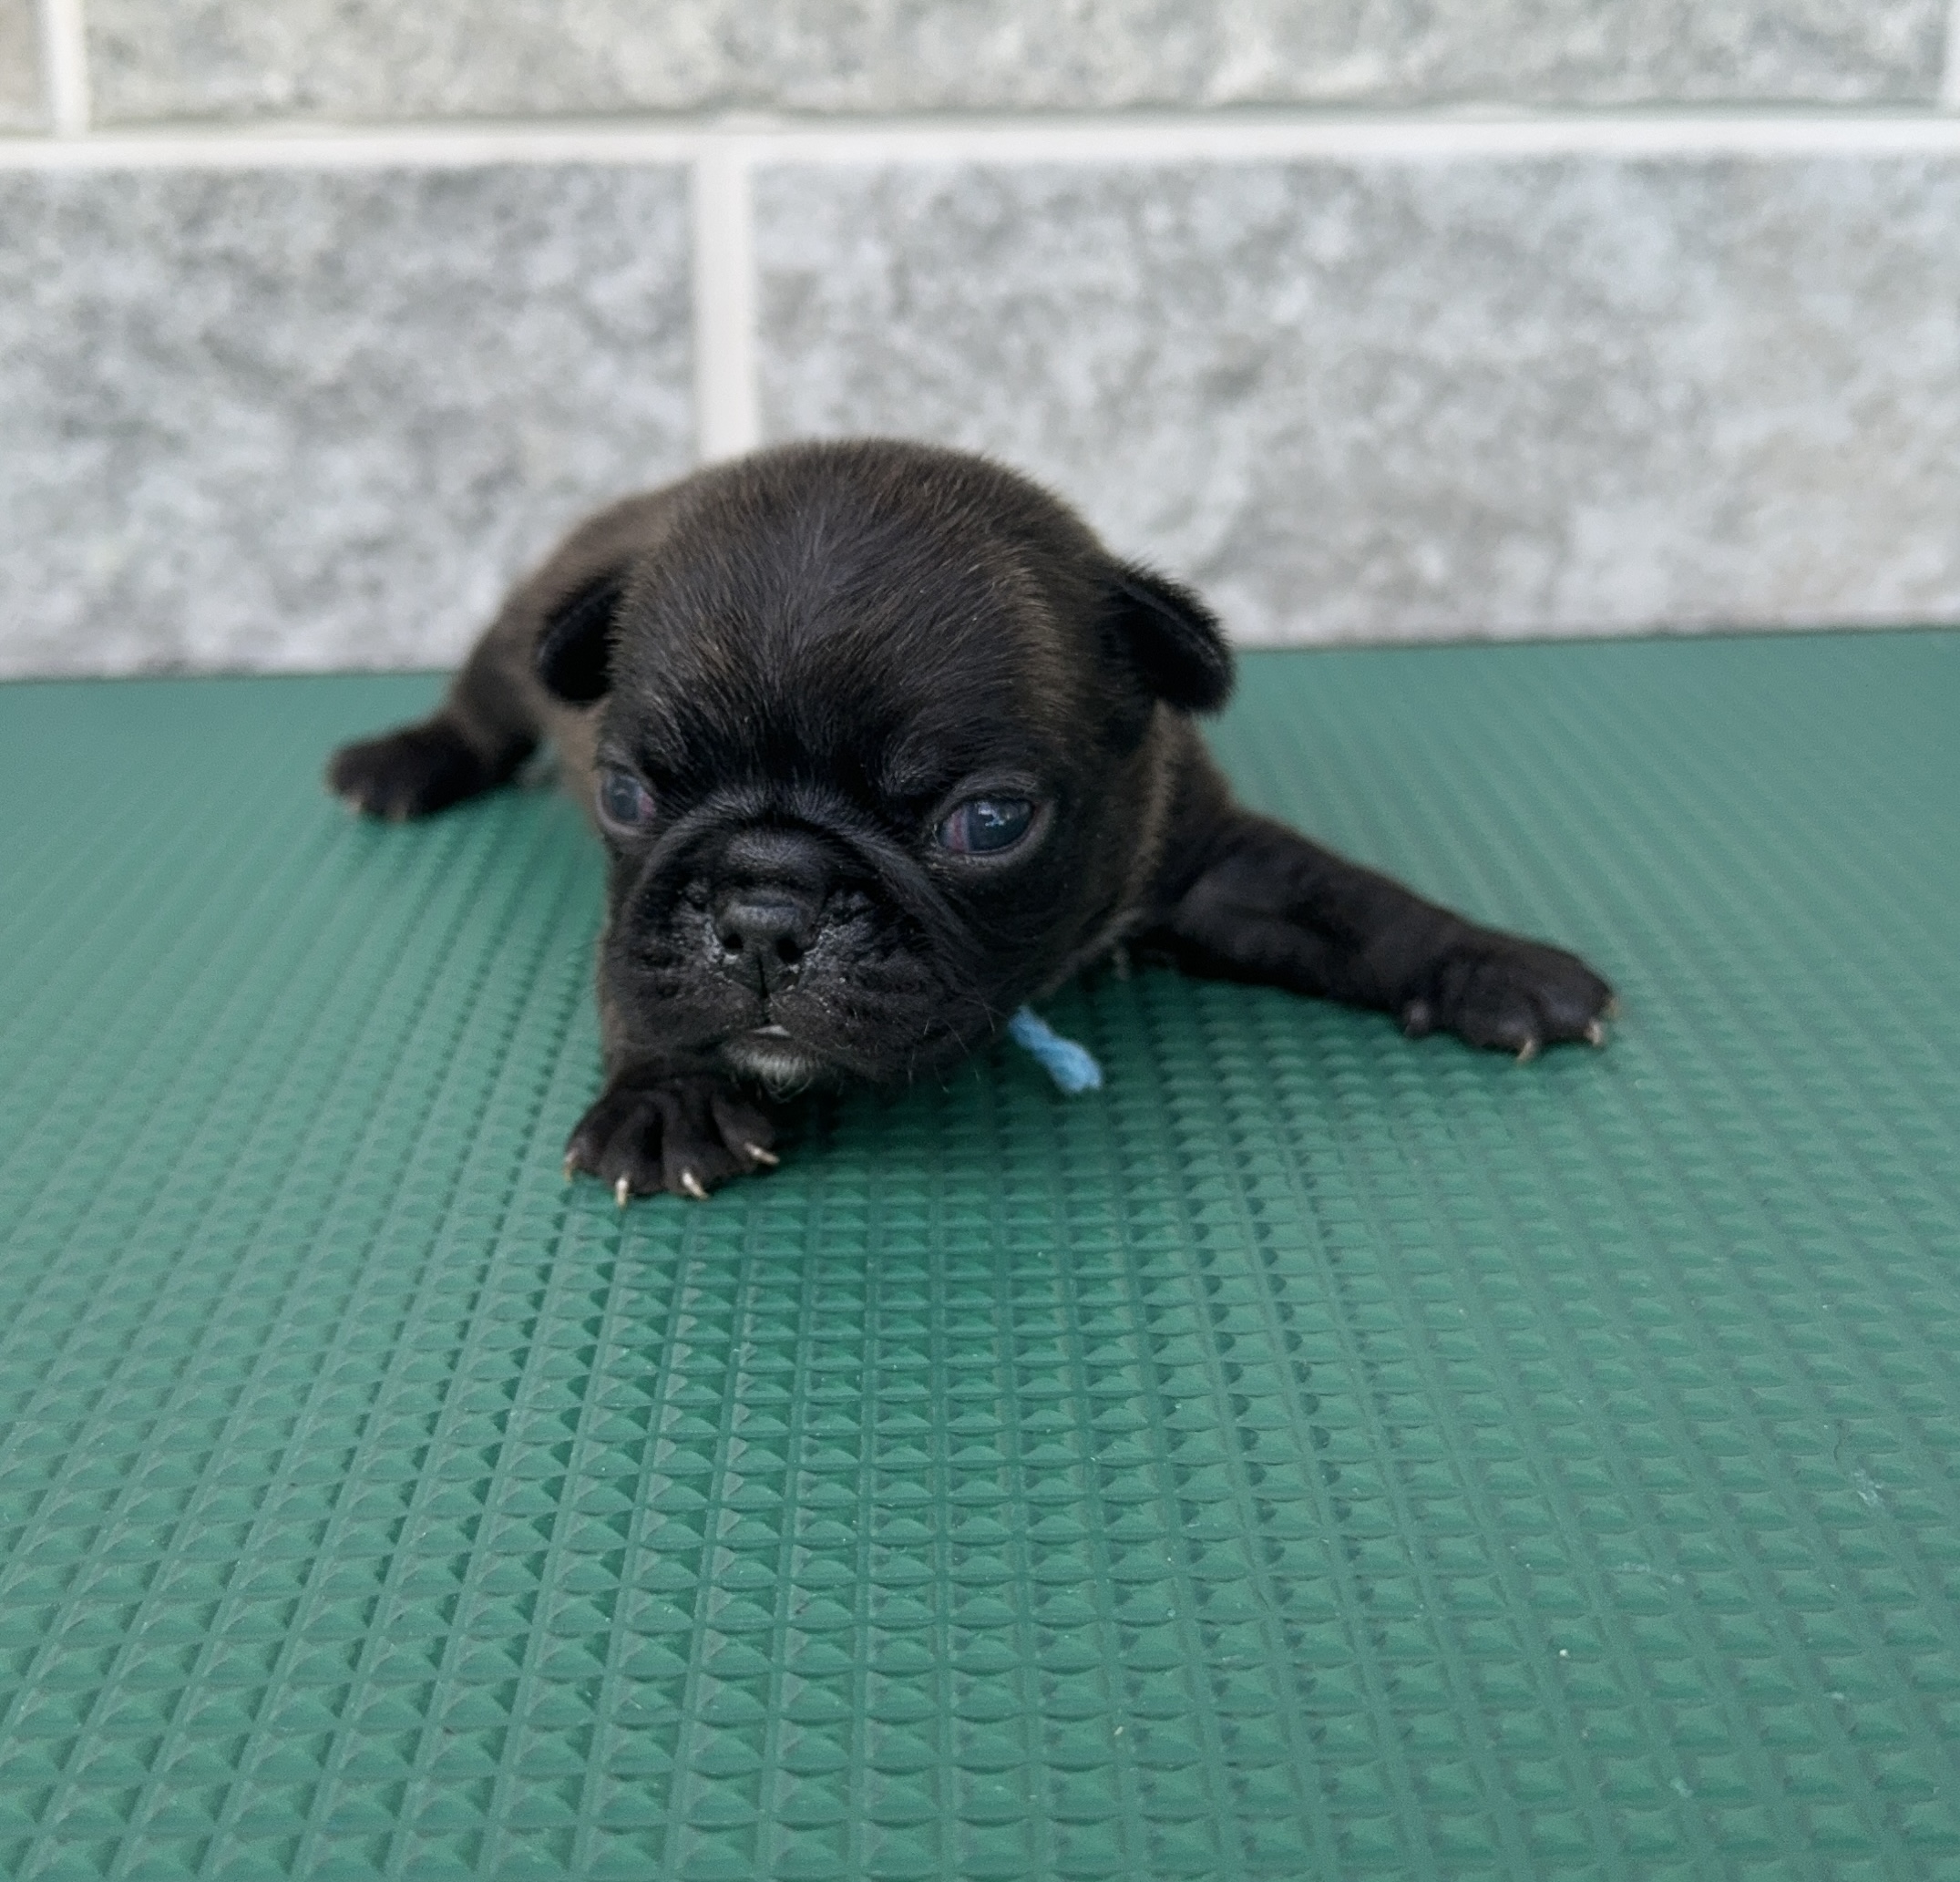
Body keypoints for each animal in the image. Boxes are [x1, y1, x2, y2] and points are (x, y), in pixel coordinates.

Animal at [325, 440, 1606, 1199]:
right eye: (626, 794)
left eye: (987, 824)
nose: (762, 912)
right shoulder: (629, 919)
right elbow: (635, 981)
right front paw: (667, 1094)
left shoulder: (1209, 861)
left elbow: (1354, 904)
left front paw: (1490, 963)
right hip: (512, 643)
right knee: (478, 707)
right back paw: (403, 761)